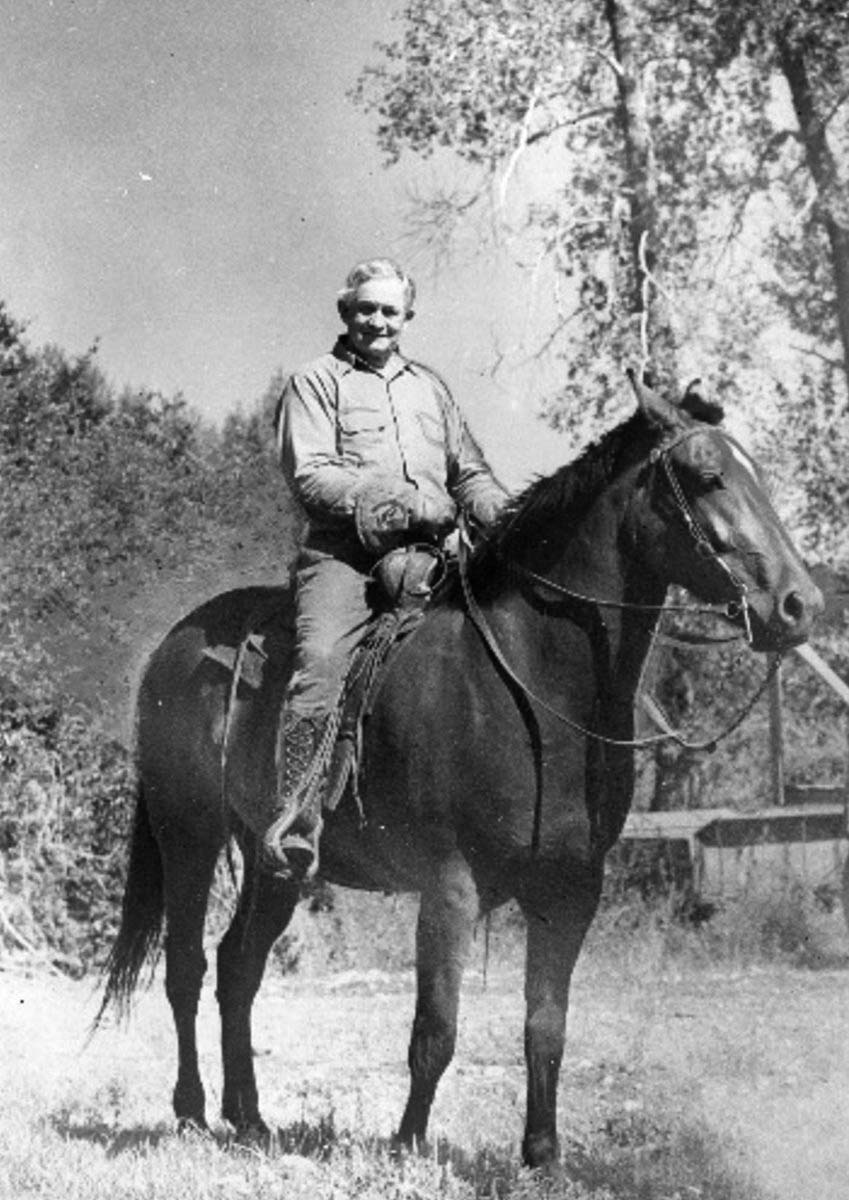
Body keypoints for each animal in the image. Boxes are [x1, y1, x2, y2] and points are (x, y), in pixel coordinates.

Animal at [97, 379, 820, 1166]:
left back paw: (250, 1118)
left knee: (237, 968)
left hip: (275, 863)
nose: (799, 604)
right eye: (707, 475)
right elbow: (435, 1033)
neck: (531, 679)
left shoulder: (571, 891)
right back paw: (193, 1113)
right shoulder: (451, 887)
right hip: (188, 835)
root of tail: (173, 644)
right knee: (186, 968)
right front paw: (409, 1145)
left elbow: (545, 1026)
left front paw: (541, 1155)